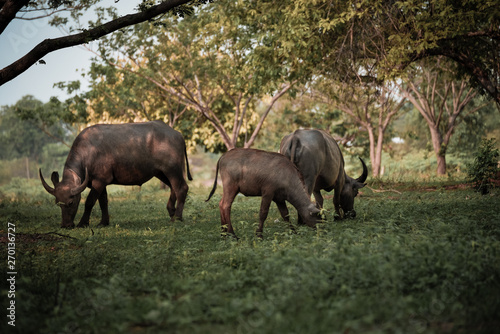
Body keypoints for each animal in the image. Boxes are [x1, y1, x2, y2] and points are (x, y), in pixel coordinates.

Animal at [38, 121, 191, 228]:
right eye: (58, 203)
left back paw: (177, 217)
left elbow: (89, 202)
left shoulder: (100, 181)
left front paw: (83, 223)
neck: (88, 152)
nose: (66, 225)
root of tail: (177, 134)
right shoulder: (100, 182)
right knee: (173, 187)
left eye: (71, 202)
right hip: (161, 172)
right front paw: (103, 222)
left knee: (181, 188)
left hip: (172, 169)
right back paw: (171, 212)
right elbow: (103, 202)